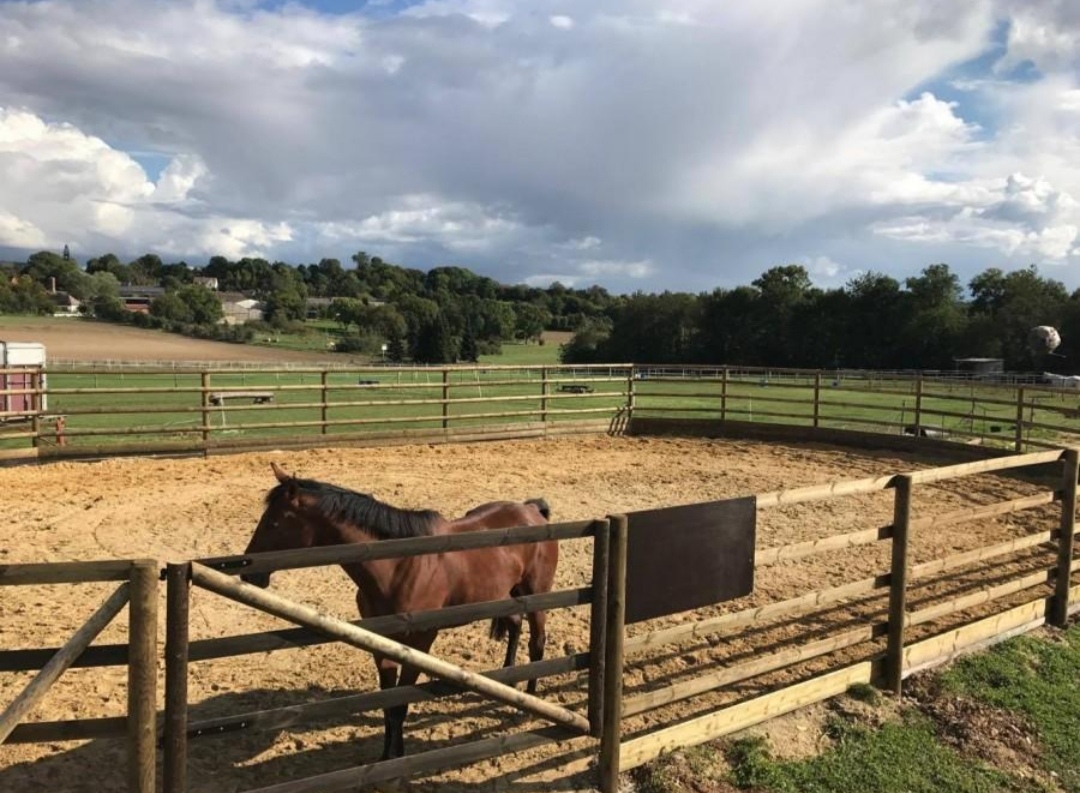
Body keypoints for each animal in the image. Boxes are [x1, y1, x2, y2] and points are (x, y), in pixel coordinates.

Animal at [239, 462, 558, 760]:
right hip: (508, 595)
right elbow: (387, 703)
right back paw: (510, 681)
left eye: (274, 523)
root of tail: (532, 510)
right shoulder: (382, 644)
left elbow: (401, 703)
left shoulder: (419, 642)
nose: (248, 572)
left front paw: (399, 756)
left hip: (536, 596)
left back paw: (529, 702)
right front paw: (386, 755)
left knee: (537, 642)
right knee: (515, 625)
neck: (399, 565)